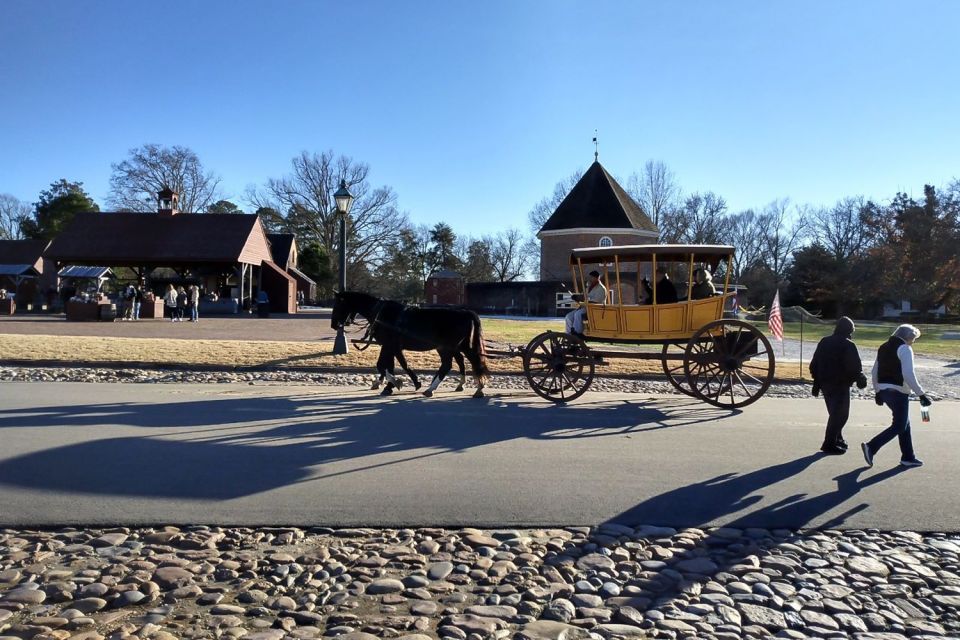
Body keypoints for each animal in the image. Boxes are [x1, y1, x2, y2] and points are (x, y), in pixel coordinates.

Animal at [332, 292, 496, 398]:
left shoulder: (389, 345)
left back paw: (434, 388)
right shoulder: (392, 346)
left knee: (450, 364)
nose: (334, 325)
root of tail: (465, 312)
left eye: (338, 304)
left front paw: (395, 383)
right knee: (465, 361)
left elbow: (385, 365)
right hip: (457, 346)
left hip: (446, 347)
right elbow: (393, 364)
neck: (380, 314)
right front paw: (394, 384)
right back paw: (466, 385)